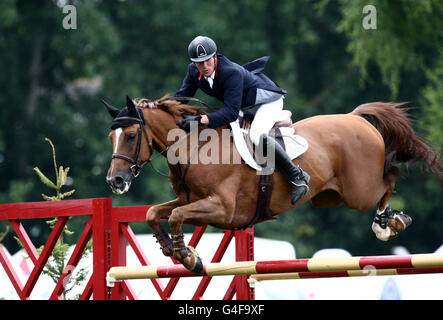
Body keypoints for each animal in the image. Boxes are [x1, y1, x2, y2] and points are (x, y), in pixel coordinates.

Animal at [103, 96, 440, 274]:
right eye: (111, 137)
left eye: (130, 136)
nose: (115, 181)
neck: (193, 148)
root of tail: (355, 118)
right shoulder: (190, 200)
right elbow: (154, 213)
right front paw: (170, 248)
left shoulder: (222, 210)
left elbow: (175, 215)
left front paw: (188, 256)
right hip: (330, 196)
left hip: (359, 190)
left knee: (390, 177)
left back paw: (388, 223)